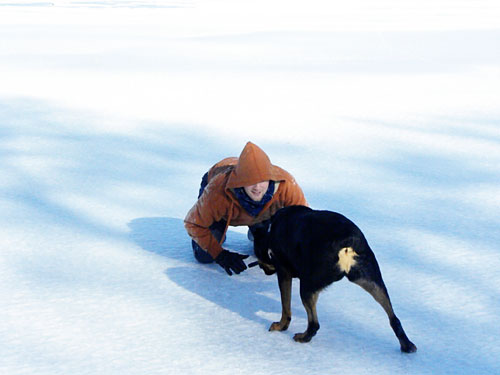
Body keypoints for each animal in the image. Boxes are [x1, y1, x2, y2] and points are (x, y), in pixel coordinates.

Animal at [252, 204, 416, 354]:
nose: (262, 268)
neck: (269, 230)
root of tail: (347, 244)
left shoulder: (283, 272)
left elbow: (286, 307)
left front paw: (281, 326)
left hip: (307, 285)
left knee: (314, 324)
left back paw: (303, 337)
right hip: (373, 281)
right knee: (394, 318)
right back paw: (407, 345)